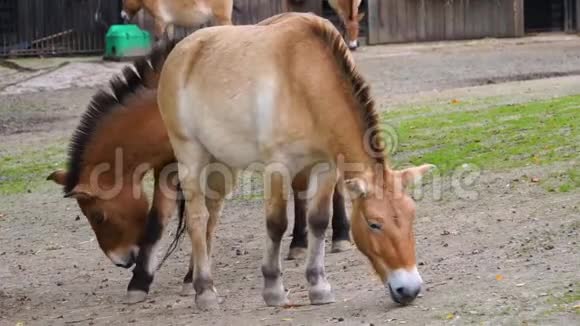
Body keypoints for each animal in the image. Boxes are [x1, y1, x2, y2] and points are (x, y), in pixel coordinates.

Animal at [46, 40, 348, 304]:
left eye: (98, 216)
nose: (121, 261)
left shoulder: (211, 167)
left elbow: (206, 218)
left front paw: (191, 279)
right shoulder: (168, 168)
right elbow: (160, 221)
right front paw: (142, 281)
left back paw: (341, 236)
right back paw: (298, 242)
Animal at [156, 11, 432, 310]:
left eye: (412, 217)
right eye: (374, 224)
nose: (409, 289)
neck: (304, 80)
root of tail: (181, 51)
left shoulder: (325, 167)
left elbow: (319, 220)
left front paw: (318, 285)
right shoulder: (278, 168)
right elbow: (276, 224)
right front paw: (273, 289)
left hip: (222, 163)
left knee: (211, 215)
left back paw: (192, 279)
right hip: (190, 155)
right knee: (197, 217)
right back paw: (204, 290)